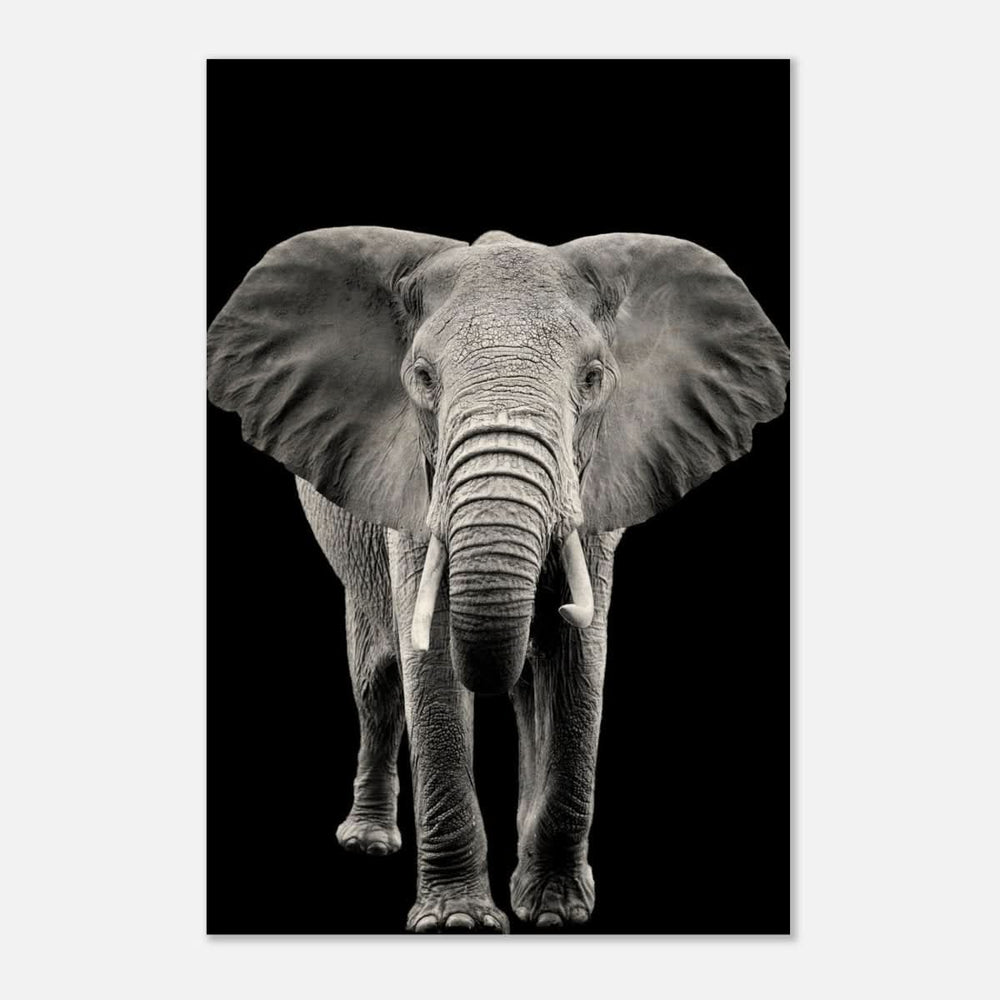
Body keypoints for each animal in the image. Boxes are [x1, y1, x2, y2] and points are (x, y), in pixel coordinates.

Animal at [207, 226, 789, 933]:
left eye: (593, 379)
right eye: (421, 378)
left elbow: (578, 661)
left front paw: (556, 912)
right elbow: (428, 662)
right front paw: (456, 921)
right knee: (377, 679)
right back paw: (368, 842)